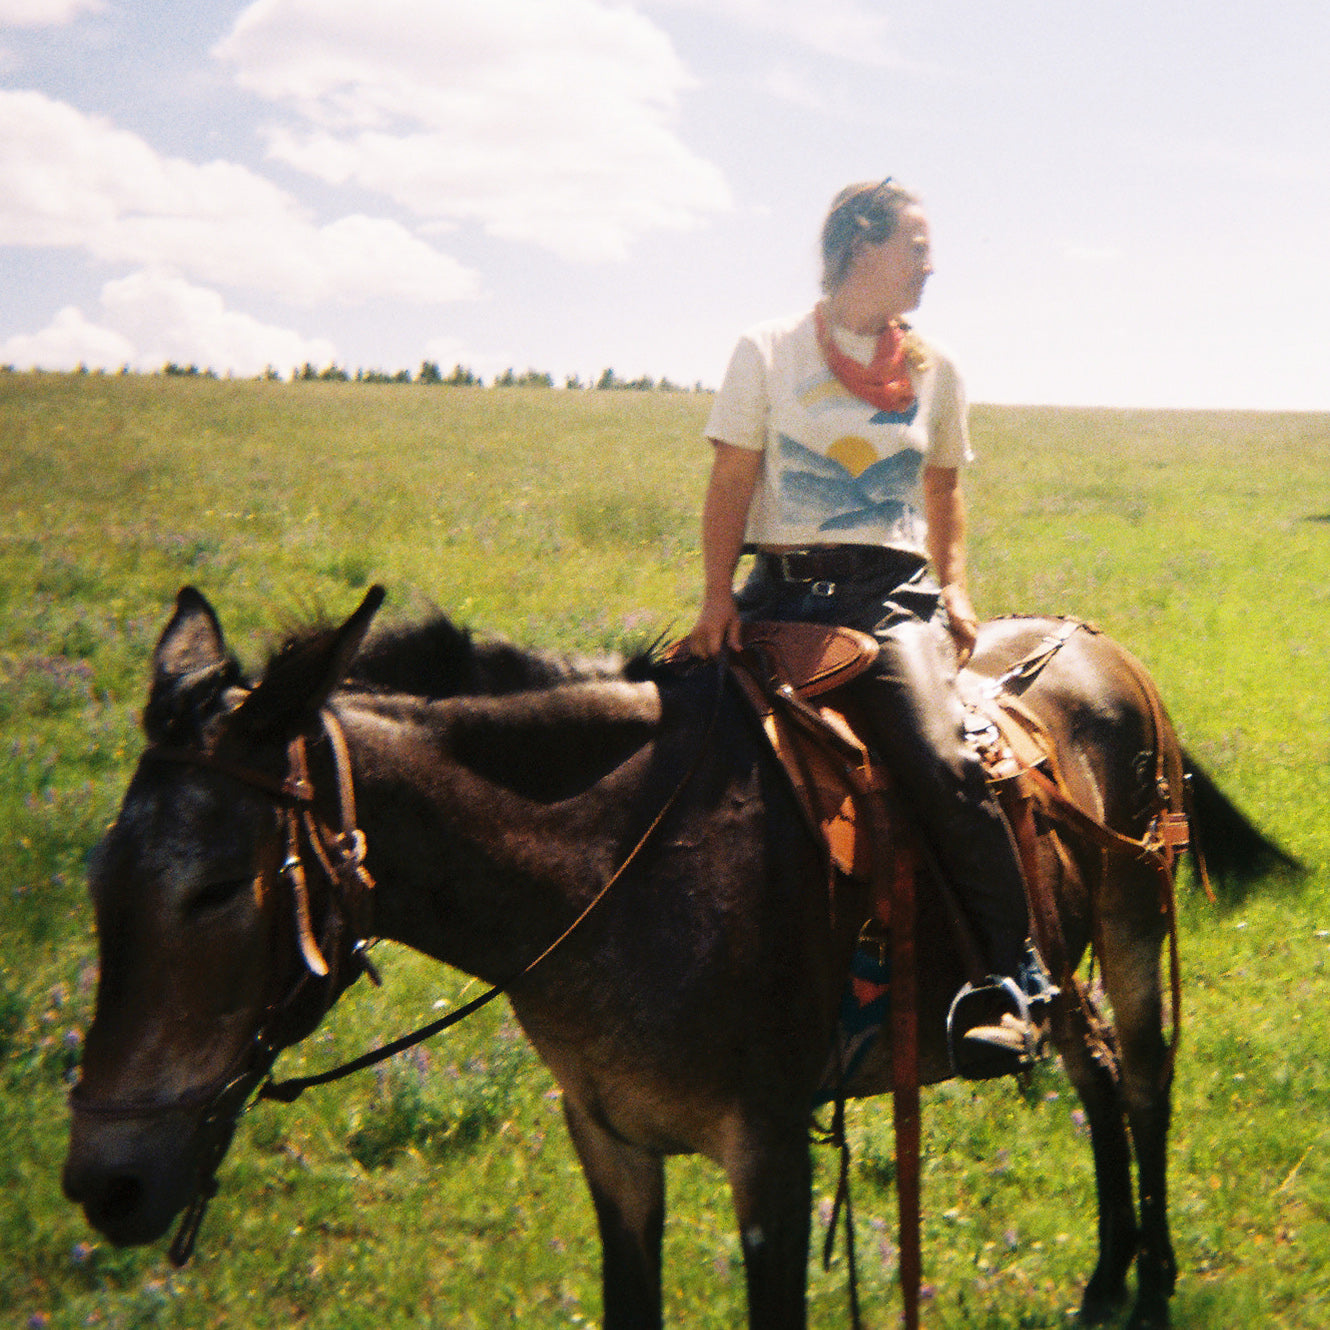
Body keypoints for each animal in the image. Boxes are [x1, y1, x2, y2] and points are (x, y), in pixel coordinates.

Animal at [62, 587, 1287, 1324]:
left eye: (217, 887)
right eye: (100, 878)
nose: (104, 1184)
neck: (619, 868)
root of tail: (1094, 642)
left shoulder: (770, 1151)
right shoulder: (607, 1138)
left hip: (1133, 918)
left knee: (1143, 1079)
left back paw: (1156, 1280)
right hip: (1061, 956)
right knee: (1090, 1068)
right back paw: (1106, 1275)